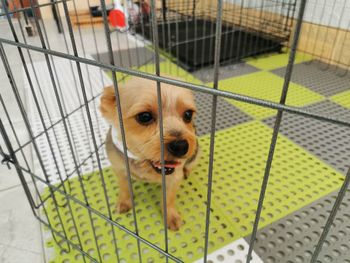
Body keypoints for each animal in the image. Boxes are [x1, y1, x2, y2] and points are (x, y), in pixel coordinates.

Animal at [100, 77, 200, 231]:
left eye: (188, 114)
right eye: (145, 116)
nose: (181, 146)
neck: (142, 162)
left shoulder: (173, 178)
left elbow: (169, 199)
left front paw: (171, 216)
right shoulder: (119, 169)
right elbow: (124, 187)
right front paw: (124, 202)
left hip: (195, 154)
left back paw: (187, 171)